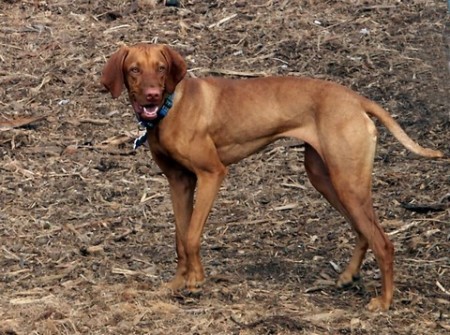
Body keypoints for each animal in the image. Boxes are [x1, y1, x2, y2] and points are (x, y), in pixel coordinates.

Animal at [100, 42, 442, 312]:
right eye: (134, 69)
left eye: (160, 68)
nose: (152, 95)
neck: (172, 106)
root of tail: (356, 99)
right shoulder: (179, 182)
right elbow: (180, 238)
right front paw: (176, 282)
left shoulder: (211, 174)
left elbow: (193, 235)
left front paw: (196, 281)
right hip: (325, 178)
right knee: (363, 231)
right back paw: (349, 275)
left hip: (348, 182)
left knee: (383, 242)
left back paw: (384, 302)